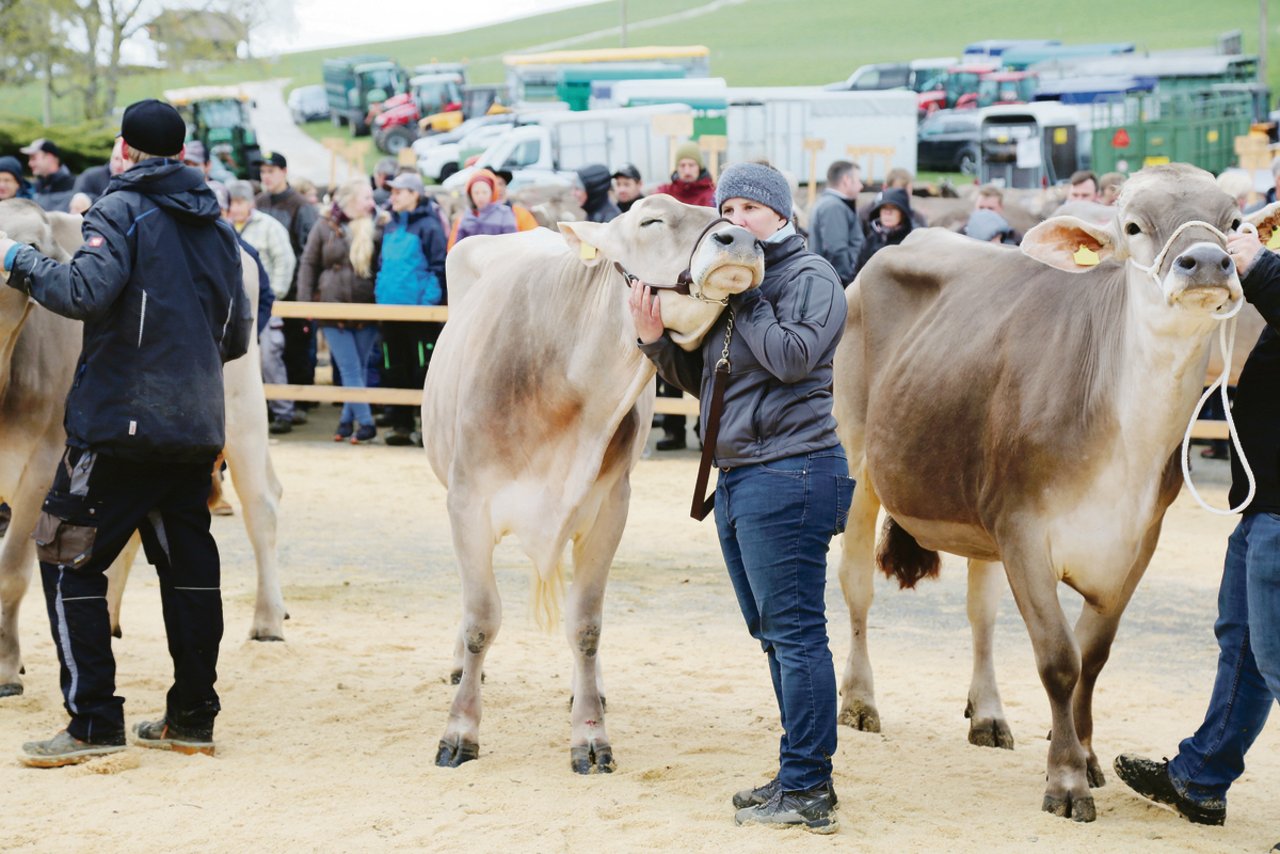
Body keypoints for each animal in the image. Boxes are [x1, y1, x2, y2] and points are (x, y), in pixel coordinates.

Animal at [422, 197, 757, 778]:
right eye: (650, 220)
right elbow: (480, 620)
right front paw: (460, 731)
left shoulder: (609, 509)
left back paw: (592, 690)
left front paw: (590, 735)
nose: (741, 240)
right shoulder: (467, 504)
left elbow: (586, 626)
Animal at [829, 163, 1249, 824]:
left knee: (981, 609)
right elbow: (1058, 658)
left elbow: (1093, 656)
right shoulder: (1023, 527)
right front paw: (1067, 780)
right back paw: (860, 702)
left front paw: (1090, 757)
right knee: (856, 587)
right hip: (858, 461)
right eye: (1133, 226)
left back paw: (989, 714)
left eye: (1232, 222)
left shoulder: (1138, 540)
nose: (1207, 261)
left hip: (976, 512)